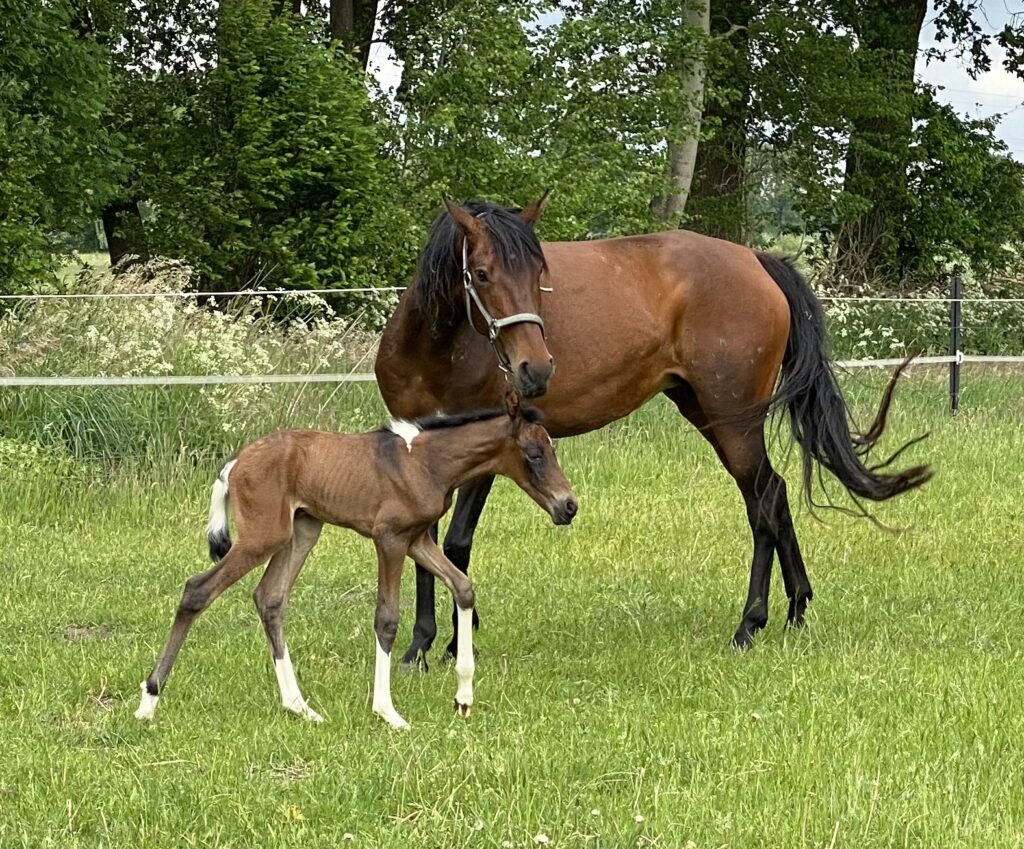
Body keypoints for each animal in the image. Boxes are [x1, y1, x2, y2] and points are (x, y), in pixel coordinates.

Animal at [136, 393, 577, 729]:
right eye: (534, 454)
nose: (568, 506)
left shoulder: (417, 539)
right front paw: (387, 712)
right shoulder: (390, 539)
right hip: (263, 537)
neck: (426, 462)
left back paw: (300, 707)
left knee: (270, 599)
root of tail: (234, 464)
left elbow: (464, 587)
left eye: (551, 449)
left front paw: (464, 697)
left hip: (302, 530)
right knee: (198, 590)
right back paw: (148, 702)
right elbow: (387, 618)